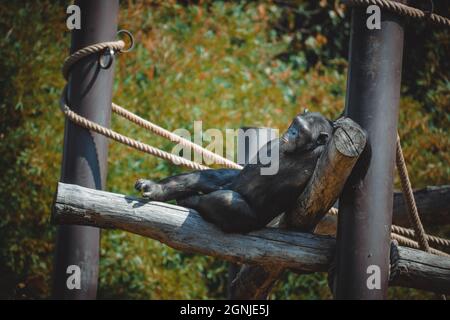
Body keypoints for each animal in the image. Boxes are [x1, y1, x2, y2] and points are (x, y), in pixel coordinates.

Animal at [134, 112, 334, 232]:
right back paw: (155, 189)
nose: (292, 132)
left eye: (302, 131)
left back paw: (190, 200)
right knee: (209, 179)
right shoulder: (274, 144)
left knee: (228, 200)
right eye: (296, 123)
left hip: (249, 222)